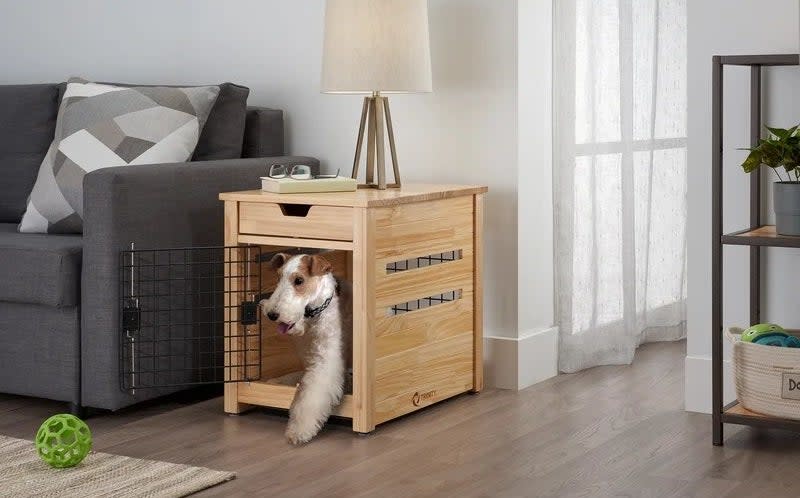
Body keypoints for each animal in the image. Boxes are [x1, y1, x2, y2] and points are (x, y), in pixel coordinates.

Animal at [260, 253, 352, 444]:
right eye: (278, 277)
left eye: (299, 280)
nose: (272, 314)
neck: (318, 312)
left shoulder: (326, 361)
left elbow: (310, 397)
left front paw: (298, 431)